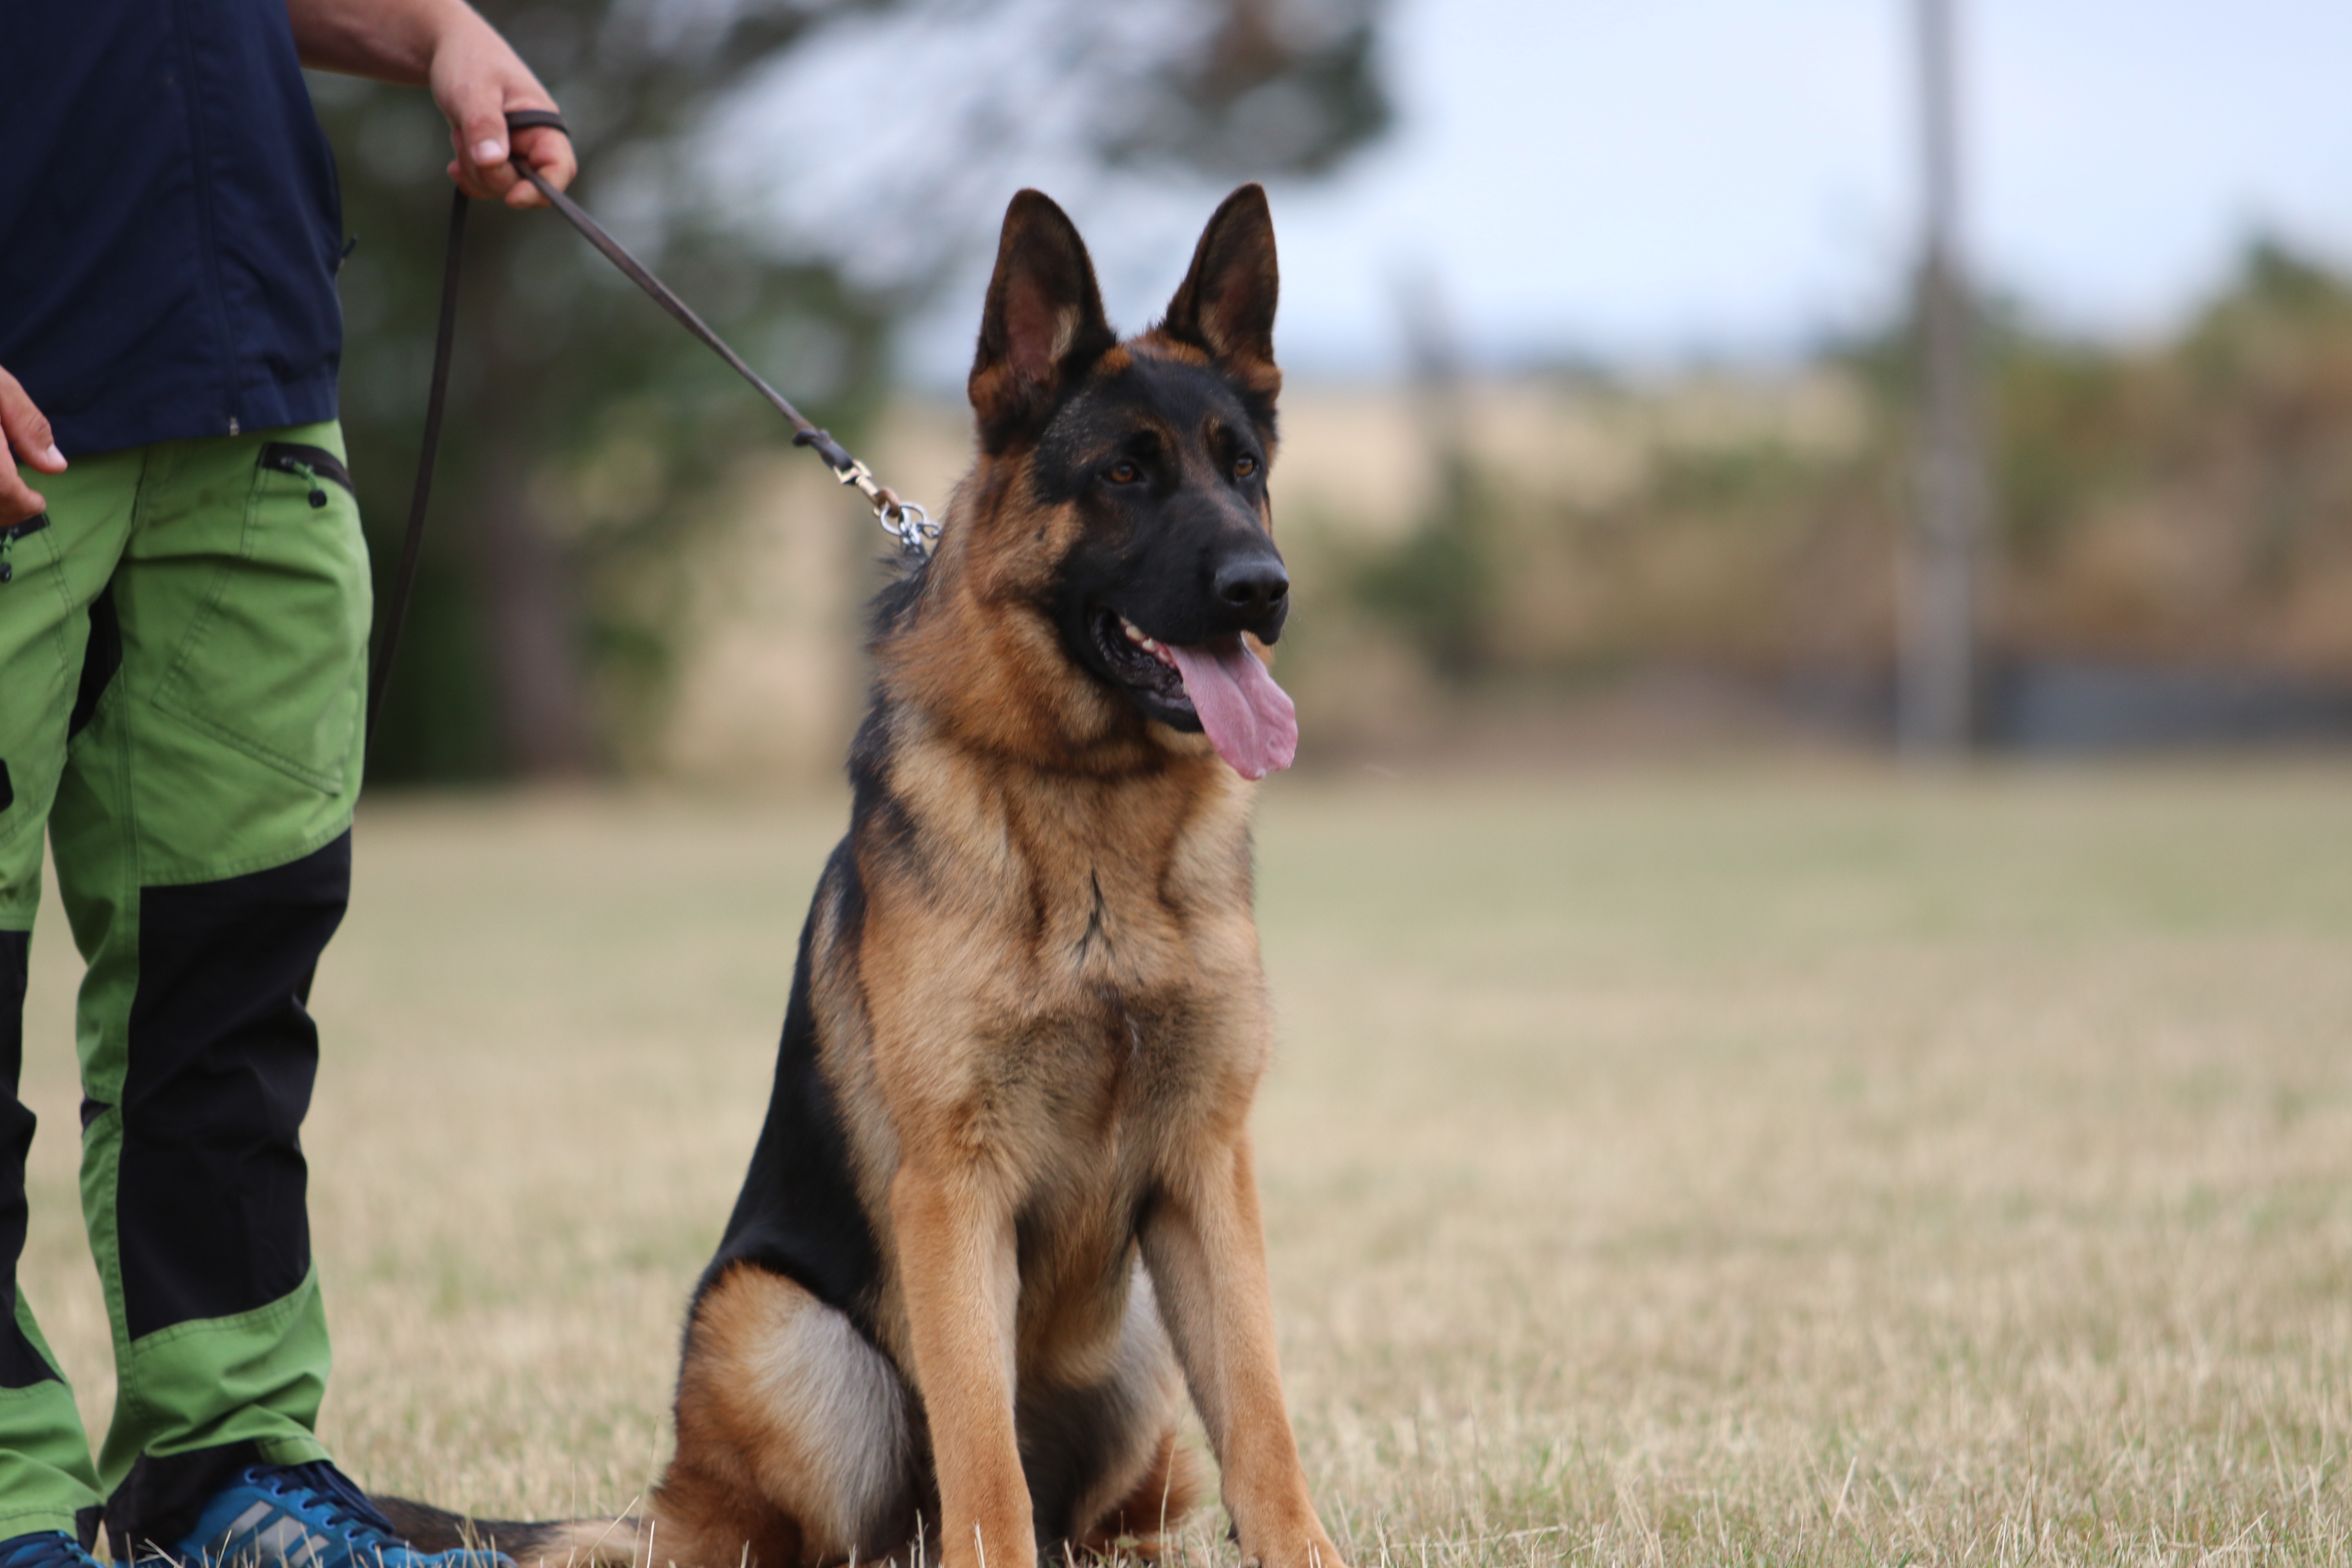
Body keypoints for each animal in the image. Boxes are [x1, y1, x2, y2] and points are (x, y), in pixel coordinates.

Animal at [386, 183, 1340, 1568]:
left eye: (1243, 468)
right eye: (1124, 472)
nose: (1262, 590)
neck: (1089, 810)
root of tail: (664, 1506)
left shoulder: (1206, 1176)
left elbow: (1264, 1432)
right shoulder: (953, 1192)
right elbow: (984, 1466)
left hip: (1137, 1365)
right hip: (788, 1337)